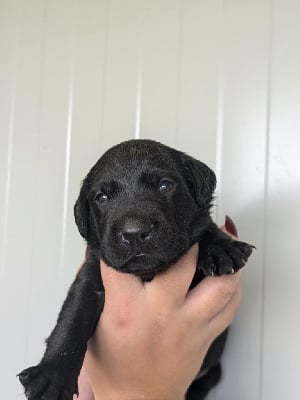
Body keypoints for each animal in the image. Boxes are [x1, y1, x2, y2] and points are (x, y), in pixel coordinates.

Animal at [18, 139, 253, 398]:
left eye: (165, 185)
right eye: (102, 197)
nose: (134, 233)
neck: (147, 274)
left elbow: (206, 227)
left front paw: (221, 247)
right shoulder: (89, 280)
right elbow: (71, 322)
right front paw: (52, 377)